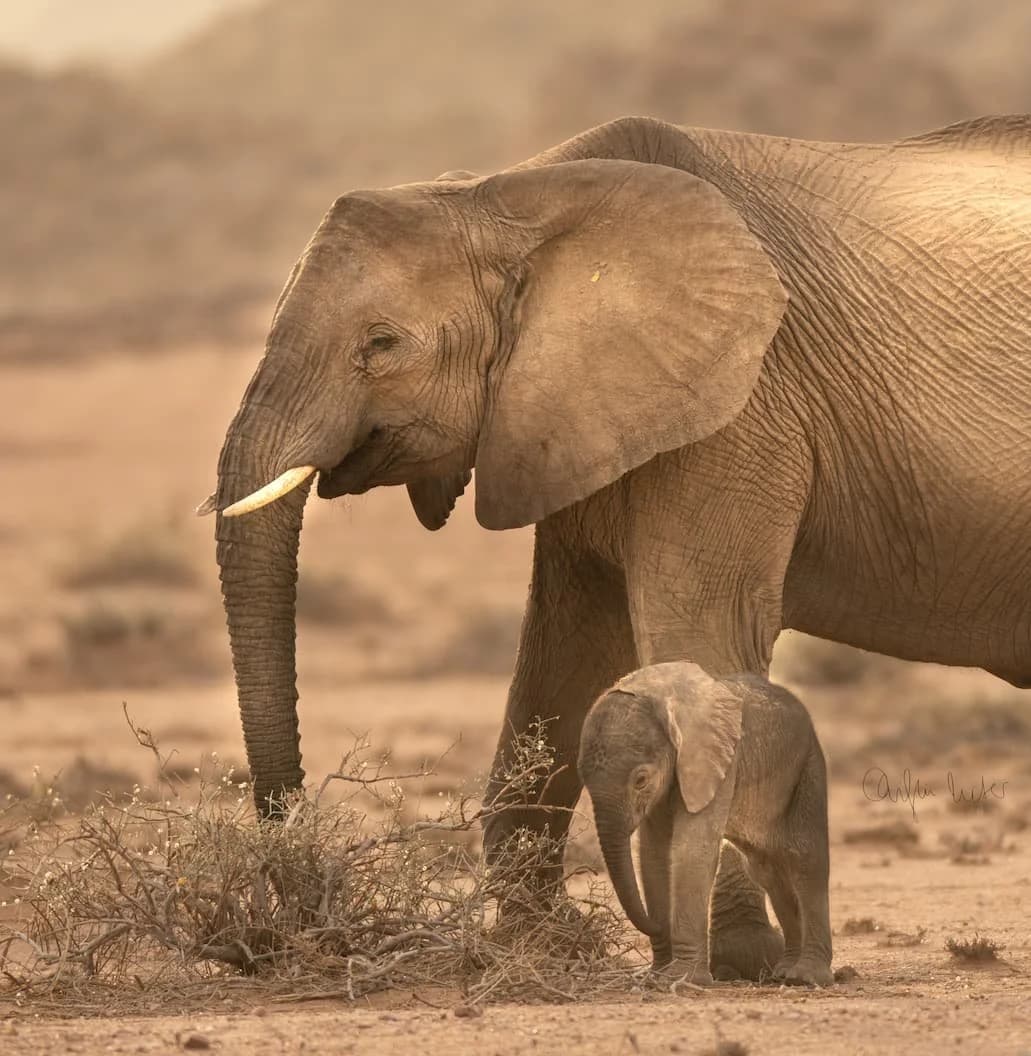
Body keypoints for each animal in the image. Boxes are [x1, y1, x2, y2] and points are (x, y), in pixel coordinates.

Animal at [578, 661, 832, 987]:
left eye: (641, 780)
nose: (656, 926)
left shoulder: (721, 762)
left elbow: (691, 849)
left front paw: (683, 979)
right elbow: (653, 854)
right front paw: (657, 976)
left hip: (808, 765)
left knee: (804, 858)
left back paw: (807, 977)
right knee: (767, 872)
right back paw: (784, 971)